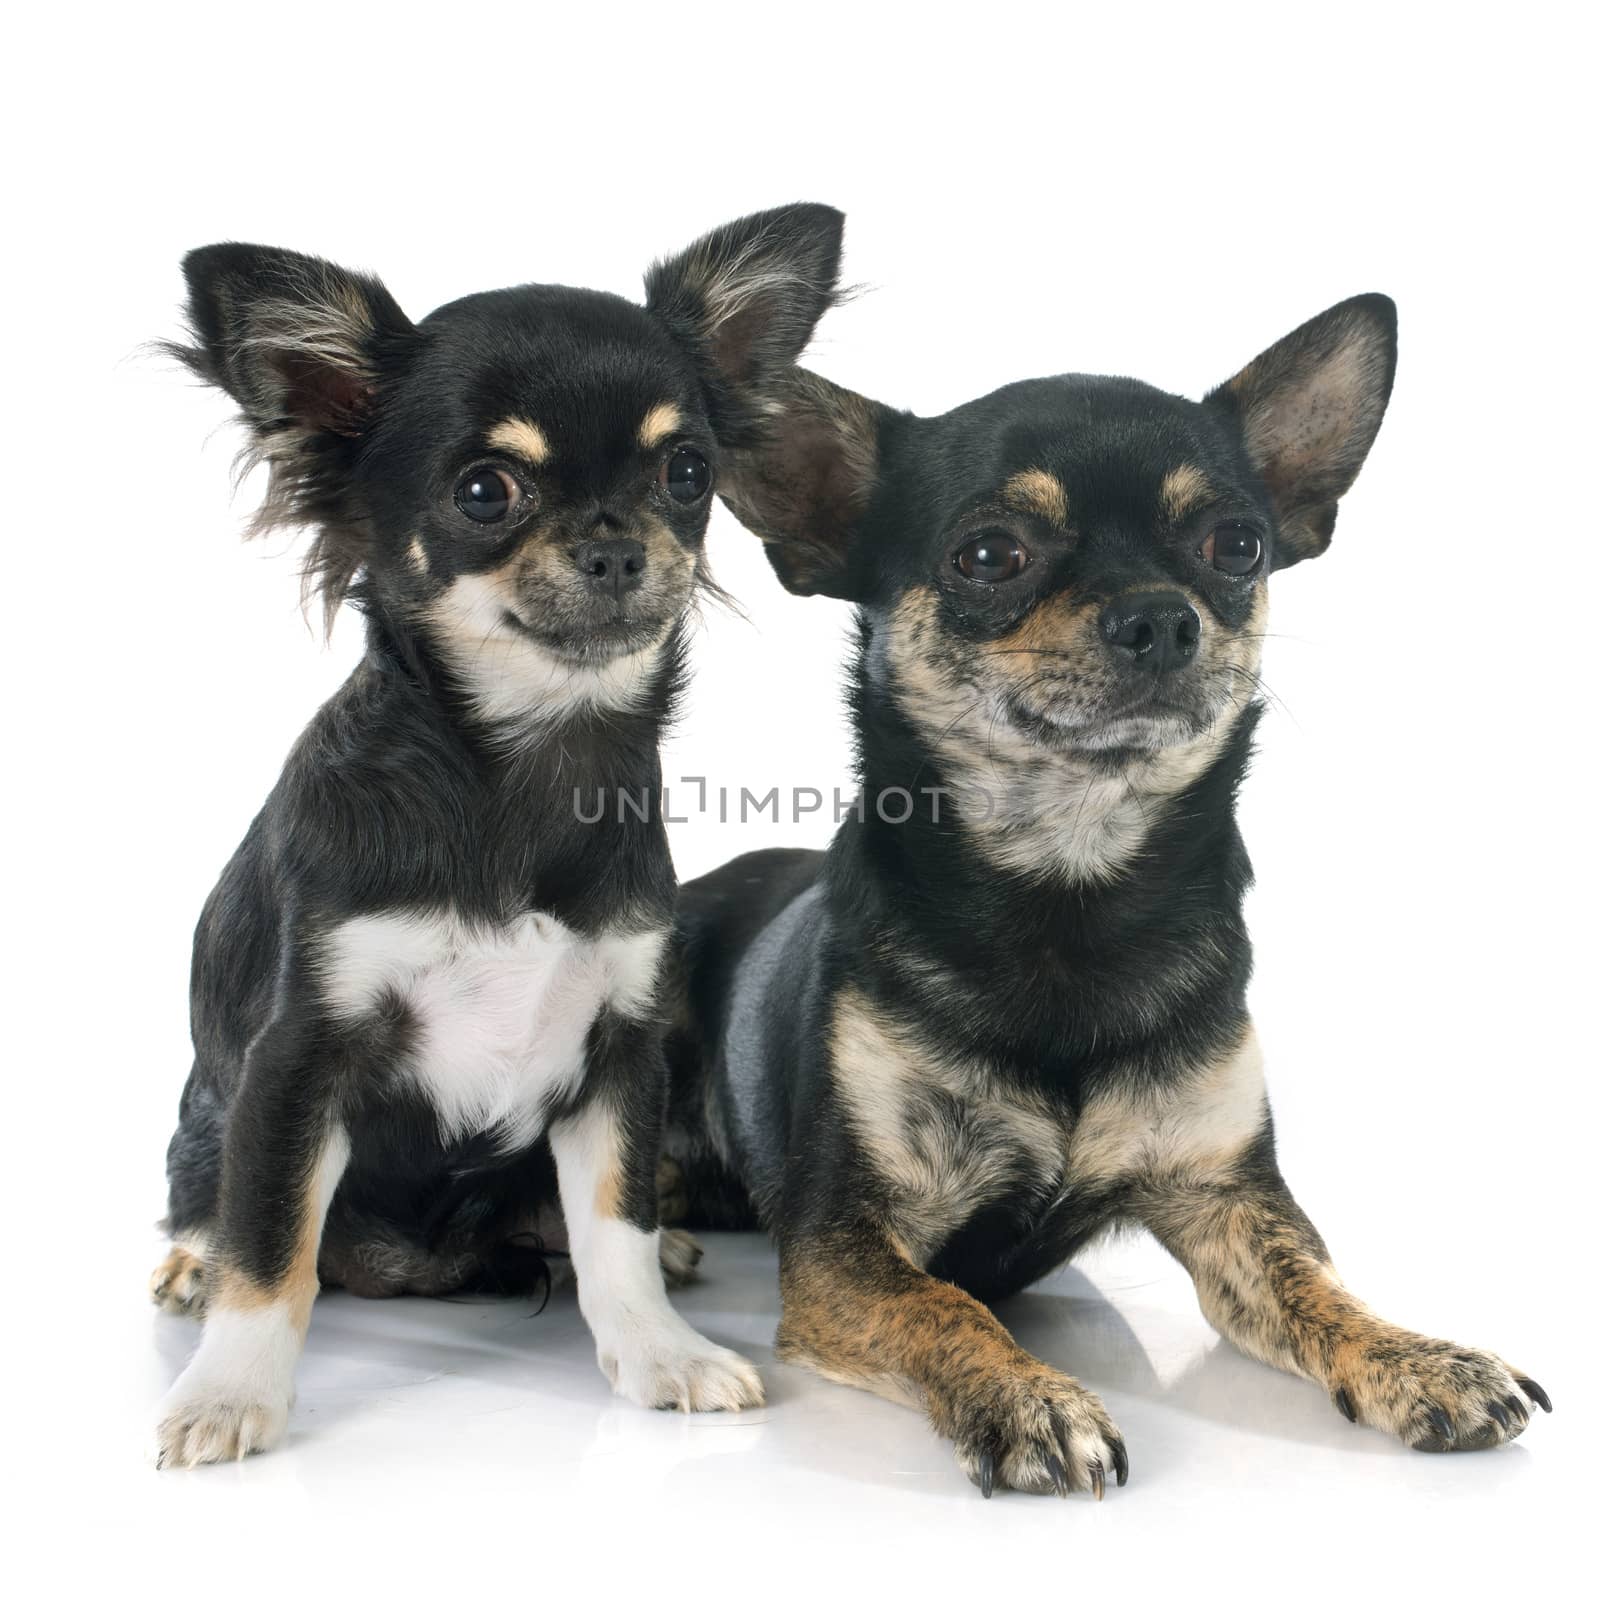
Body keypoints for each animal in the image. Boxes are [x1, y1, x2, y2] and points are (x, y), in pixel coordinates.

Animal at [151, 206, 851, 1465]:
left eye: (686, 472)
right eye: (486, 490)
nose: (620, 546)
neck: (521, 775)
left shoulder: (620, 1052)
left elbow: (617, 1220)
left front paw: (659, 1348)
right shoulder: (296, 1064)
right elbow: (269, 1249)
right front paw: (228, 1392)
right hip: (204, 1119)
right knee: (215, 1207)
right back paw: (189, 1258)